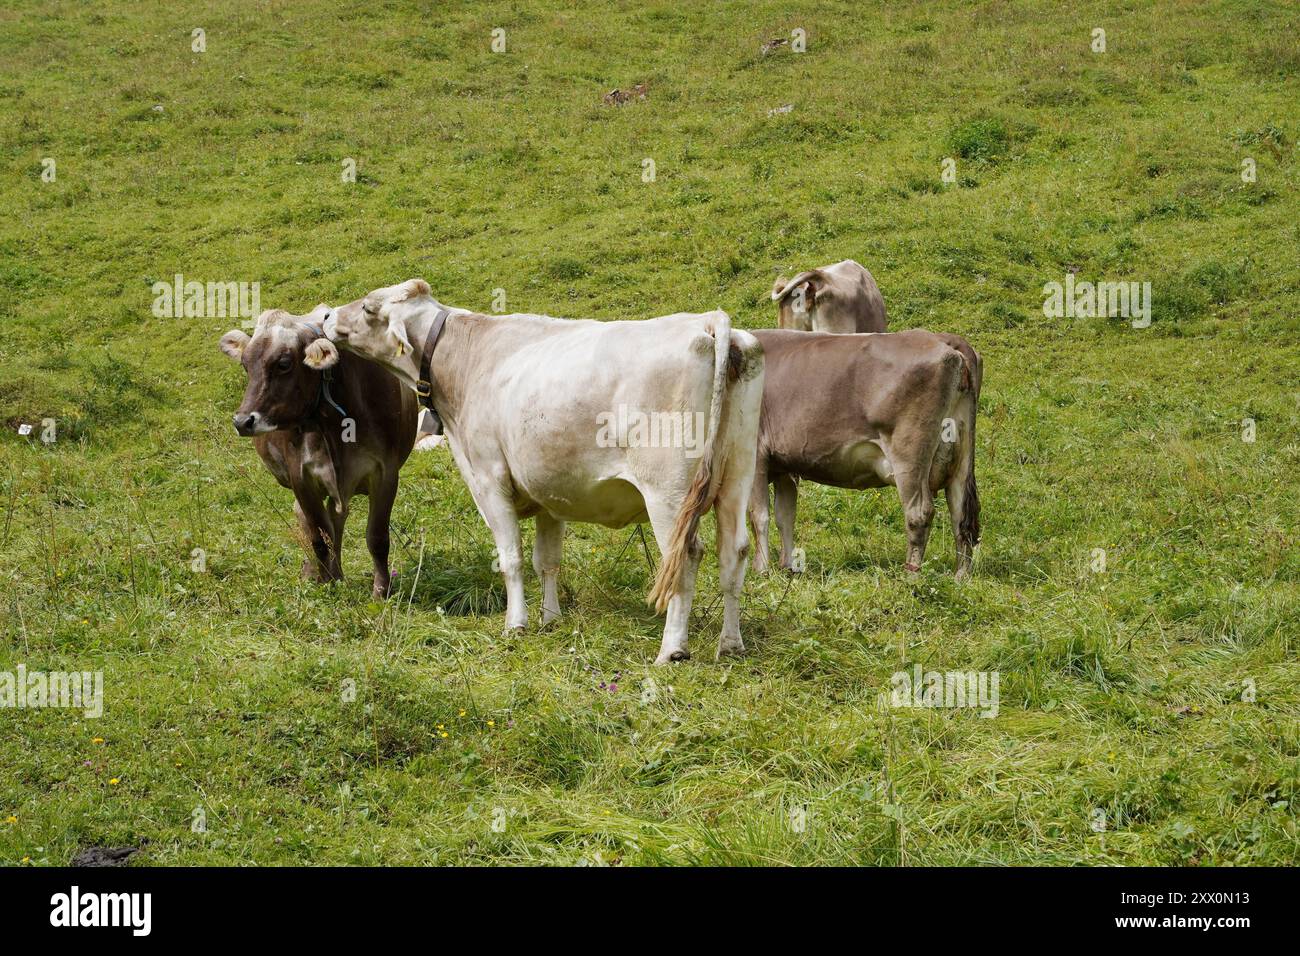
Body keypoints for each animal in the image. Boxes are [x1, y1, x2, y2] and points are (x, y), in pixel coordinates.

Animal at [219, 305, 419, 598]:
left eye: (283, 364)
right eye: (246, 364)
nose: (242, 421)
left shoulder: (385, 473)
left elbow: (377, 537)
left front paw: (381, 590)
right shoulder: (302, 478)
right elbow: (318, 536)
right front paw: (326, 583)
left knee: (337, 519)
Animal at [322, 280, 765, 665]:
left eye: (368, 306)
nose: (326, 315)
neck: (465, 360)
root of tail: (707, 320)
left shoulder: (489, 479)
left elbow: (512, 559)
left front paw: (516, 624)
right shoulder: (550, 490)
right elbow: (547, 560)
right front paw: (550, 619)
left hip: (667, 491)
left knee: (685, 556)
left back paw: (672, 649)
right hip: (737, 474)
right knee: (734, 551)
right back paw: (731, 643)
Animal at [748, 329, 981, 579]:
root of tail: (943, 338)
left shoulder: (756, 454)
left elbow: (759, 515)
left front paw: (761, 569)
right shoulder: (785, 465)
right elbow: (785, 515)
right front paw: (788, 567)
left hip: (909, 455)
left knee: (920, 513)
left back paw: (911, 575)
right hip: (961, 459)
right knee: (961, 515)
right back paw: (960, 576)